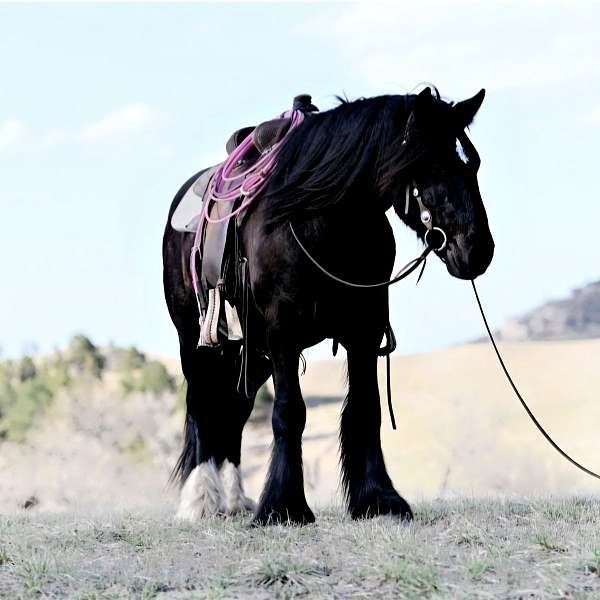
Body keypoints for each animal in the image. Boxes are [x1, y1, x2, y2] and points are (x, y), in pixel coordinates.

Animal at [162, 85, 494, 524]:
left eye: (472, 165)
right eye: (436, 165)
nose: (479, 250)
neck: (323, 223)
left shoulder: (365, 330)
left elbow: (366, 408)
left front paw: (377, 498)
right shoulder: (283, 333)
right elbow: (289, 412)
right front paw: (283, 506)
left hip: (251, 354)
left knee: (234, 411)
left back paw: (233, 500)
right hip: (195, 340)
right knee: (202, 406)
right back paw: (200, 500)